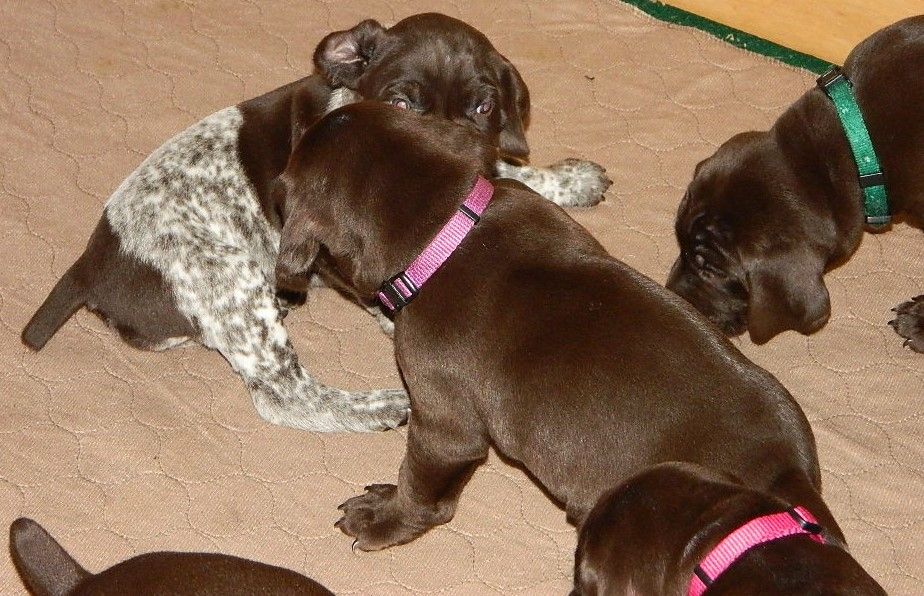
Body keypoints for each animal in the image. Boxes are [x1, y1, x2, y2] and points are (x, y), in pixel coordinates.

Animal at [20, 13, 611, 433]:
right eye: (402, 102)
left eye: (483, 107)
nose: (455, 154)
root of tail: (91, 263)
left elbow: (509, 171)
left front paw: (568, 179)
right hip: (231, 277)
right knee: (284, 395)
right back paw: (379, 406)